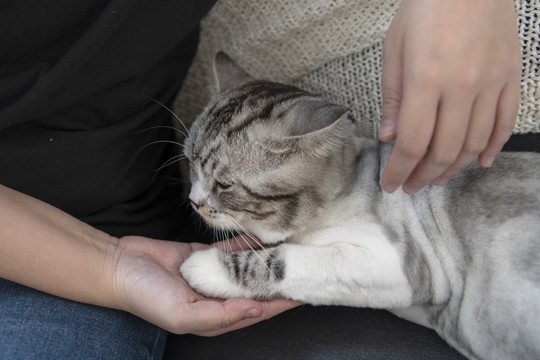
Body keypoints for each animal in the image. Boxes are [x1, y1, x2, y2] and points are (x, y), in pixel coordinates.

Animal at [181, 53, 540, 360]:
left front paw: (204, 267)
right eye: (191, 164)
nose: (194, 202)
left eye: (224, 185)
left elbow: (279, 260)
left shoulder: (399, 262)